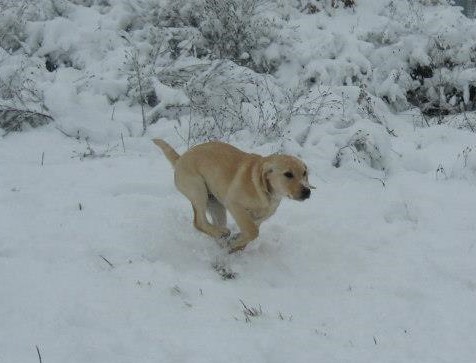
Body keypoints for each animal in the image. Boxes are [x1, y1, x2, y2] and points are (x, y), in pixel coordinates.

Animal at [154, 139, 314, 253]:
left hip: (216, 205)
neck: (265, 192)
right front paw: (235, 243)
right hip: (198, 191)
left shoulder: (259, 218)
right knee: (199, 222)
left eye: (304, 173)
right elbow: (253, 232)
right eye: (288, 174)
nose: (307, 191)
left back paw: (221, 238)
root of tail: (180, 158)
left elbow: (250, 233)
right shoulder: (234, 204)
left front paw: (236, 245)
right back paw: (221, 233)